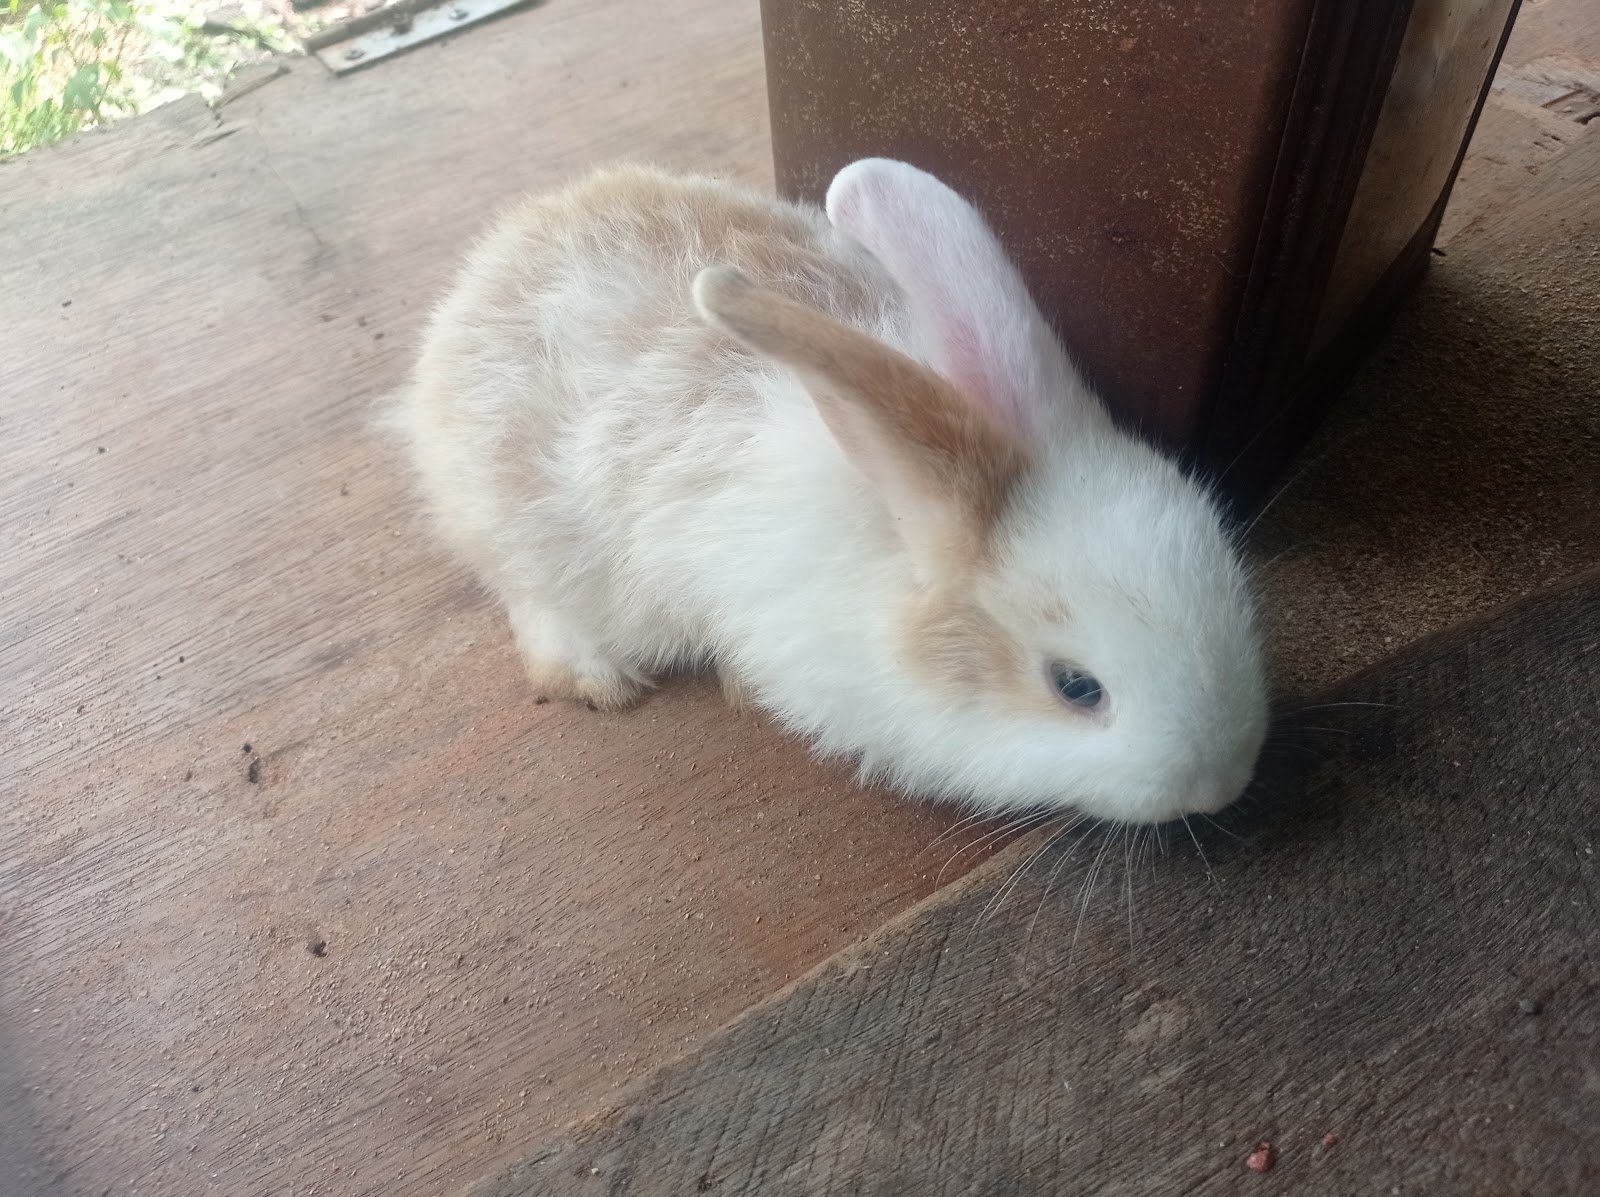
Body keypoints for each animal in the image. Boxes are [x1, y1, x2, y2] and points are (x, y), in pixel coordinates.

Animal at [398, 158, 1268, 825]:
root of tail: (482, 276)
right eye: (1077, 687)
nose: (1224, 784)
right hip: (529, 540)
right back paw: (595, 679)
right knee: (534, 604)